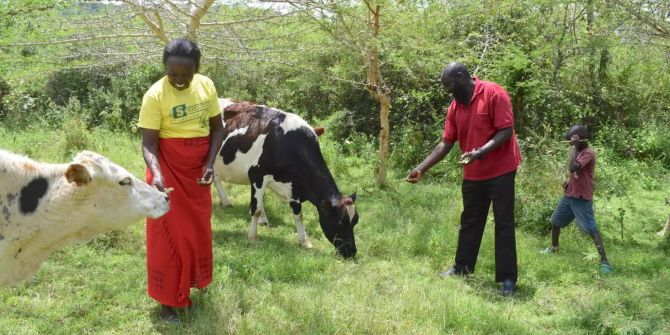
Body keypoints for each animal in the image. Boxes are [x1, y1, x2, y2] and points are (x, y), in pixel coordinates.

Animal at [214, 98, 362, 258]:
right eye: (340, 222)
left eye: (356, 220)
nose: (352, 251)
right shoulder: (257, 174)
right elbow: (256, 209)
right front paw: (252, 237)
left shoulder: (294, 186)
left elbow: (298, 214)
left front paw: (304, 242)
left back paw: (226, 202)